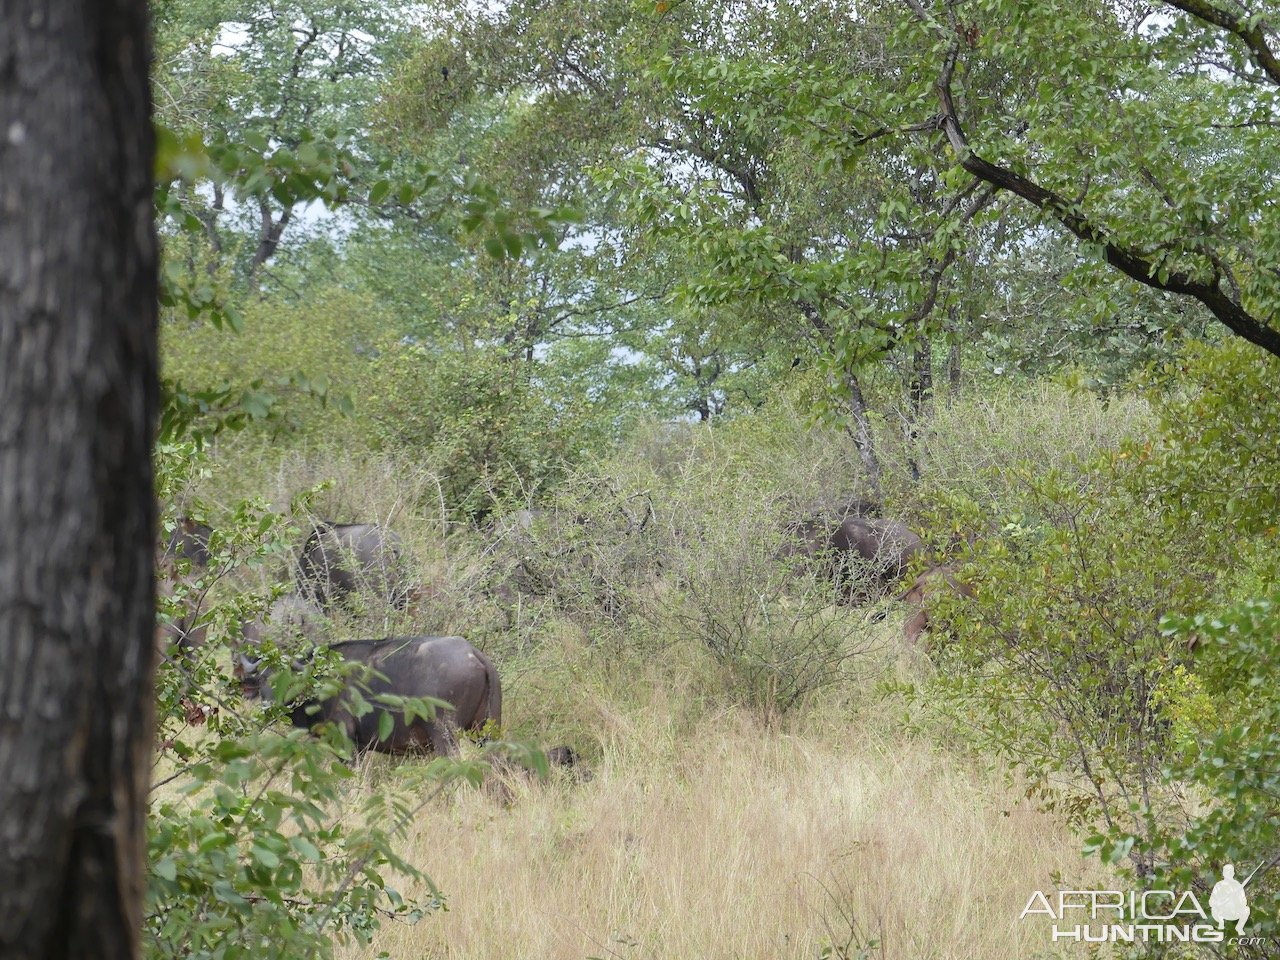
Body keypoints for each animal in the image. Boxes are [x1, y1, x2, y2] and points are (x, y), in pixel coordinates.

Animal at [240, 640, 499, 757]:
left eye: (289, 680)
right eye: (262, 681)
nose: (268, 707)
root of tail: (472, 652)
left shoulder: (346, 742)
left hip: (445, 734)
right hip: (486, 730)